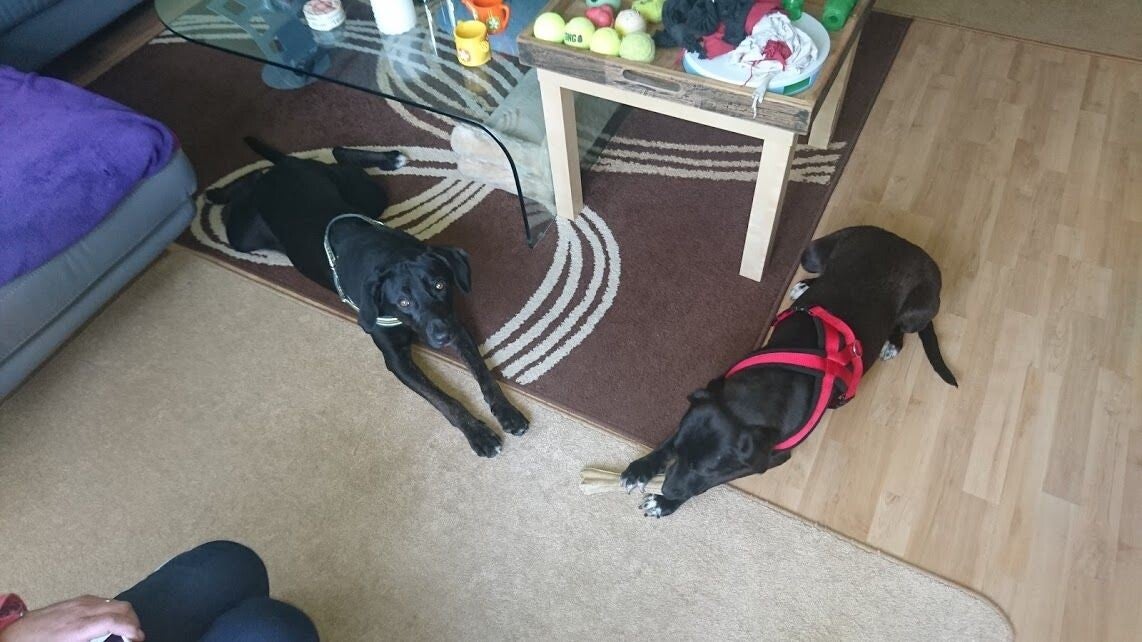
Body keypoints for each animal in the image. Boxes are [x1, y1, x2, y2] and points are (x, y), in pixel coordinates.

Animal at [207, 137, 528, 457]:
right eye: (403, 302)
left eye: (439, 285)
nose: (441, 336)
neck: (390, 256)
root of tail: (284, 167)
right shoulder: (397, 360)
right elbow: (444, 399)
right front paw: (478, 433)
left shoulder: (455, 323)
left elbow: (483, 373)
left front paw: (507, 412)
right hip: (244, 236)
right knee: (250, 182)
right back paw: (216, 191)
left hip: (368, 195)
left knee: (335, 153)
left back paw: (391, 158)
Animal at [620, 226, 958, 516]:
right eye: (678, 451)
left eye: (704, 468)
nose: (668, 489)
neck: (752, 396)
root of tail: (906, 244)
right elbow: (667, 441)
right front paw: (642, 468)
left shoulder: (765, 460)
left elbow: (708, 484)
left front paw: (665, 503)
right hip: (812, 254)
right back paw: (805, 286)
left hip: (917, 311)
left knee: (907, 324)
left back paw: (893, 342)